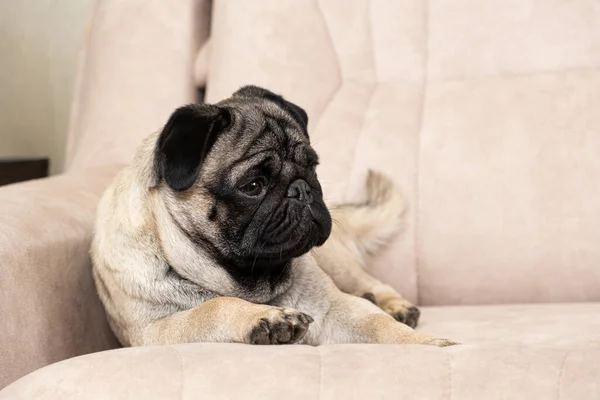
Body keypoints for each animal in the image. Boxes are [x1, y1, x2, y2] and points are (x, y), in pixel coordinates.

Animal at [89, 85, 458, 346]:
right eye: (254, 185)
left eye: (312, 166)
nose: (302, 189)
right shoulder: (154, 331)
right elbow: (212, 308)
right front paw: (266, 319)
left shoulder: (334, 309)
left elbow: (377, 323)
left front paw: (429, 344)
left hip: (335, 260)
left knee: (369, 283)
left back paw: (393, 304)